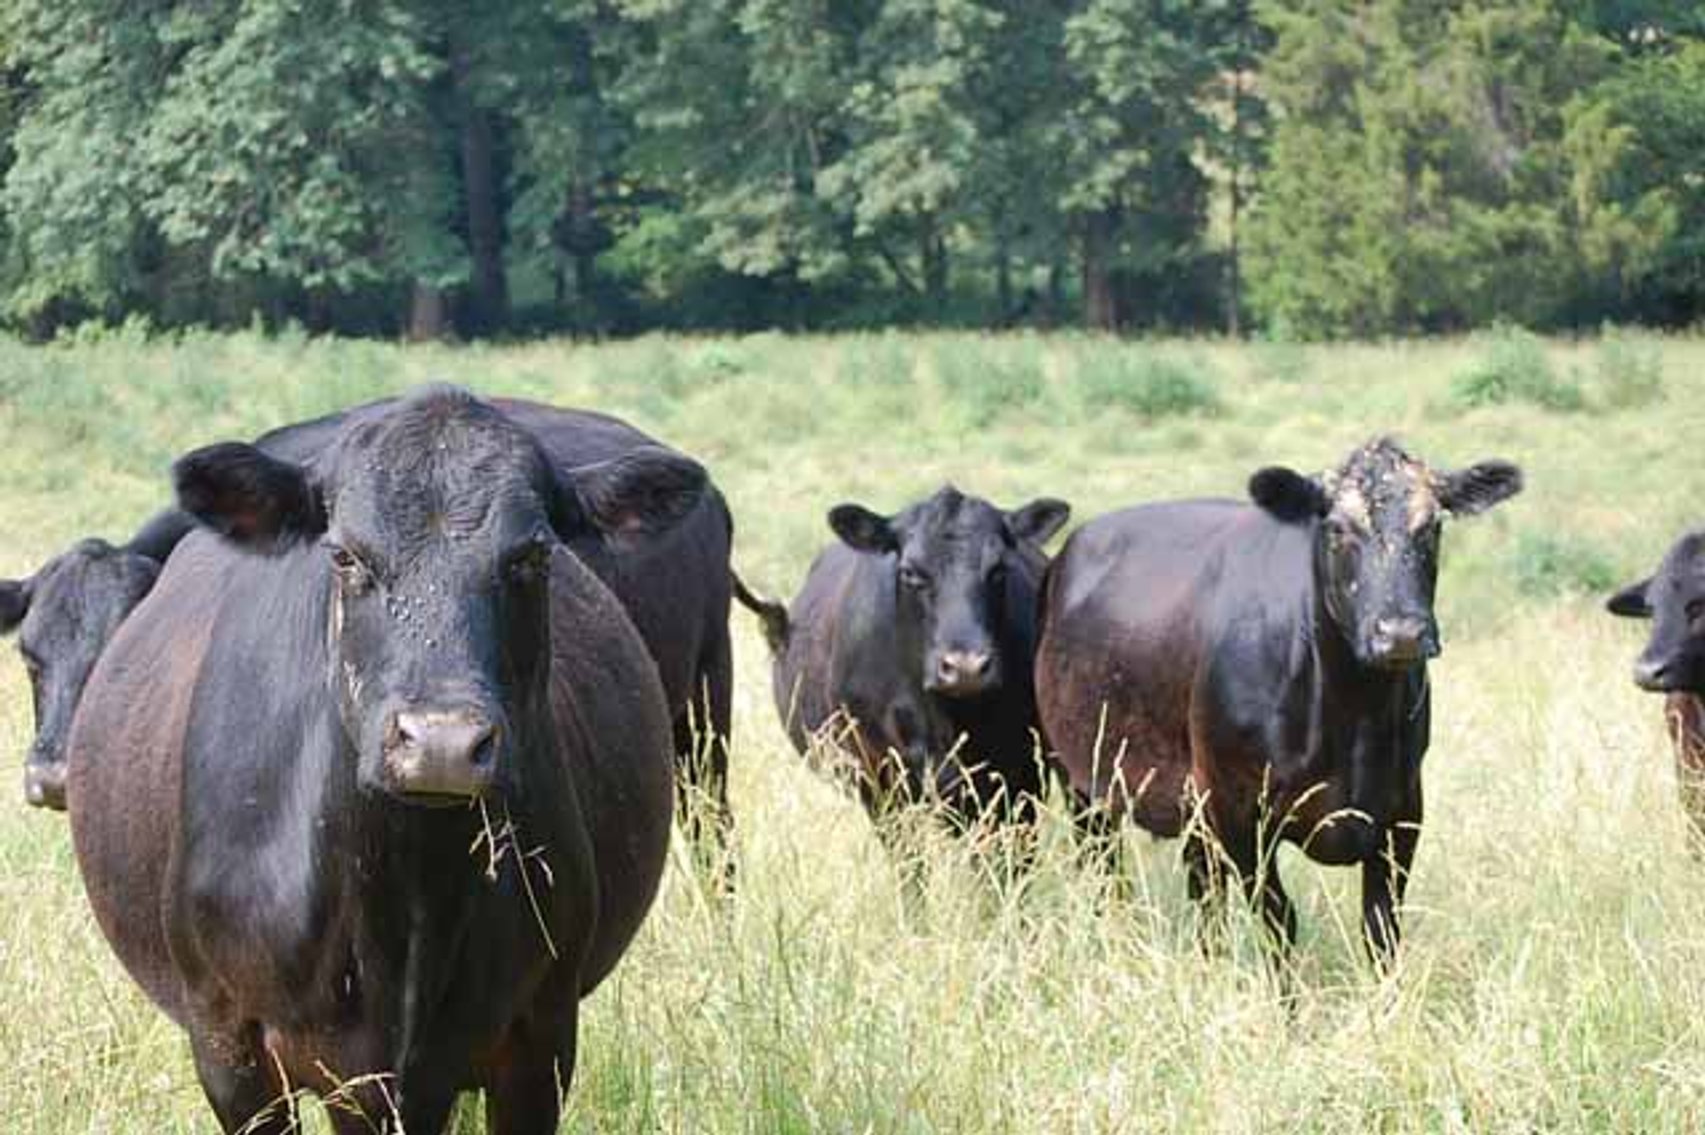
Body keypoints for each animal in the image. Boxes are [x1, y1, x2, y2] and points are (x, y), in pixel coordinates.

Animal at [1035, 438, 1521, 962]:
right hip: (1082, 785)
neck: (1353, 714)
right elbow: (1278, 919)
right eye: (1337, 528)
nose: (1401, 634)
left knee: (1204, 894)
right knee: (1109, 875)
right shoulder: (1238, 811)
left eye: (1432, 525)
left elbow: (1381, 928)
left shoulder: (1402, 809)